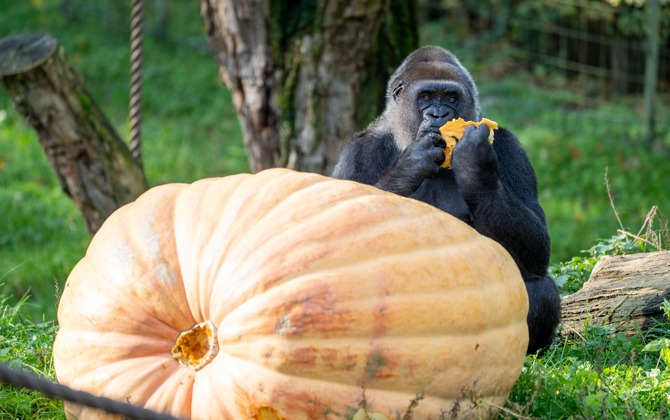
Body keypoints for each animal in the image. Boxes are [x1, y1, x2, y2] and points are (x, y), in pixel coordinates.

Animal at [332, 46, 561, 354]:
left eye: (452, 98)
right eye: (426, 97)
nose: (440, 113)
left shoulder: (510, 148)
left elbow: (537, 246)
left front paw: (476, 165)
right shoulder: (356, 152)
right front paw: (410, 165)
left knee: (539, 286)